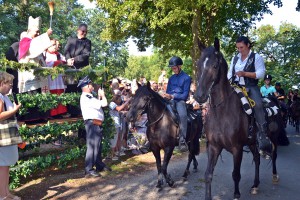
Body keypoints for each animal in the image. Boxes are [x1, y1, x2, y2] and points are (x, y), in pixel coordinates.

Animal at [193, 38, 280, 199]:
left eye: (215, 66)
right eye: (198, 65)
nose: (199, 96)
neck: (222, 112)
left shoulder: (237, 148)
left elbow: (236, 174)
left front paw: (236, 194)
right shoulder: (214, 146)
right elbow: (208, 174)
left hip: (274, 137)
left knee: (274, 154)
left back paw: (275, 176)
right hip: (252, 142)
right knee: (257, 159)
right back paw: (255, 185)